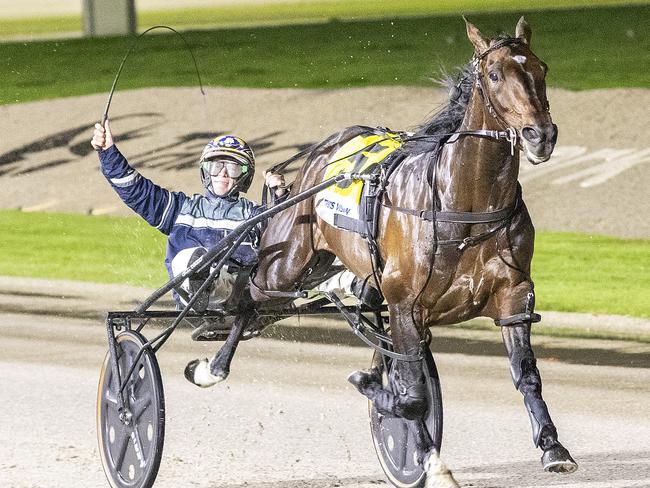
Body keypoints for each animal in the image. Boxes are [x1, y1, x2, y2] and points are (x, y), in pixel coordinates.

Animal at [199, 17, 576, 486]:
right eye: (494, 75)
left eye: (542, 68)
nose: (540, 135)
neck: (463, 205)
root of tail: (325, 149)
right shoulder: (404, 305)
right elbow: (411, 395)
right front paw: (381, 397)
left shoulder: (514, 295)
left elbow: (525, 376)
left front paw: (552, 446)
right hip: (286, 262)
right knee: (250, 296)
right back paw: (212, 364)